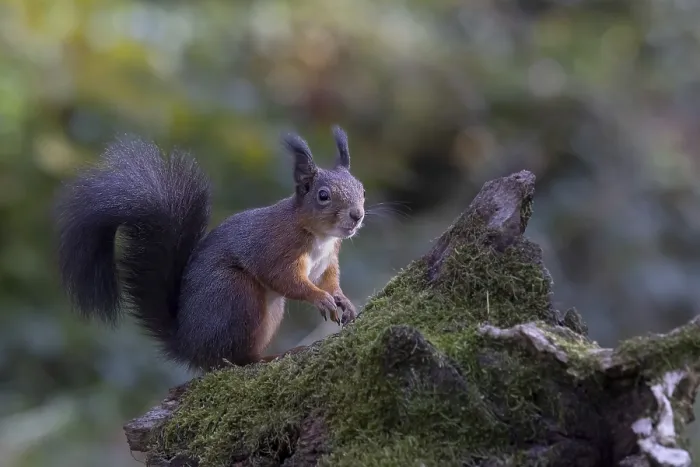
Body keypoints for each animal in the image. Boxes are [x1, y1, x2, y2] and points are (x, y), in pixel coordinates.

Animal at [54, 126, 365, 371]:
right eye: (323, 196)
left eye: (361, 189)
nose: (357, 215)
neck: (319, 236)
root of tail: (188, 344)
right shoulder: (275, 248)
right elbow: (285, 279)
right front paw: (320, 298)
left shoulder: (328, 260)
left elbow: (328, 279)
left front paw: (342, 299)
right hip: (236, 295)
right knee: (231, 359)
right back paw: (268, 357)